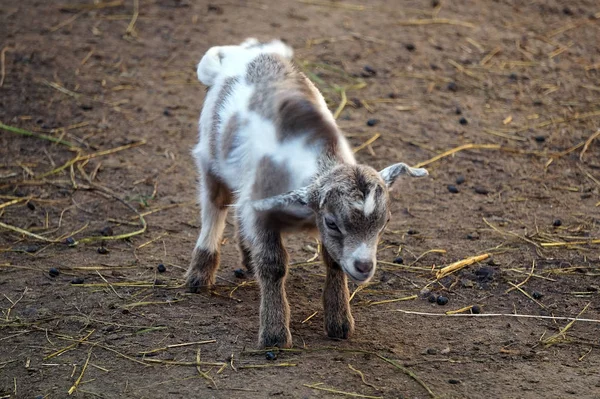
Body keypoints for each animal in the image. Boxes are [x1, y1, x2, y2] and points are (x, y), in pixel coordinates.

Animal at [188, 38, 426, 350]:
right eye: (332, 223)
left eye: (384, 223)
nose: (364, 266)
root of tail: (243, 51)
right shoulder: (262, 213)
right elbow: (273, 264)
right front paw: (275, 333)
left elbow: (334, 262)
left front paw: (339, 323)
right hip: (210, 156)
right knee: (215, 206)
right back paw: (200, 273)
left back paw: (247, 260)